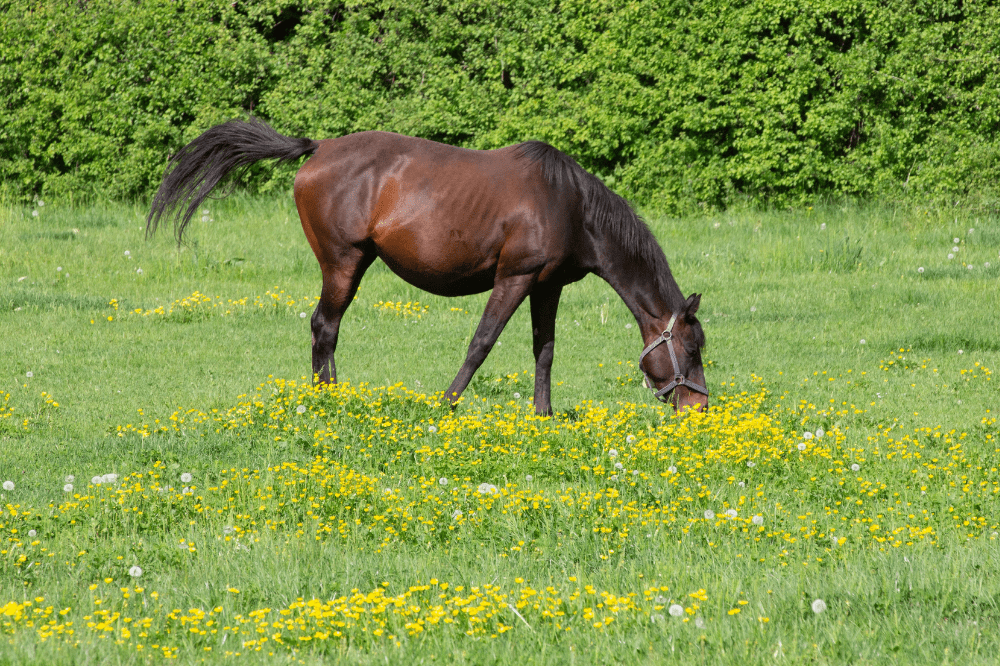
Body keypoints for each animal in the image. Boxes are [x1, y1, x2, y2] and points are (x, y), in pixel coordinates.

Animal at [147, 117, 709, 414]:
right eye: (692, 348)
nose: (698, 408)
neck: (568, 204)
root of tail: (317, 148)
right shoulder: (515, 278)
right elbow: (482, 342)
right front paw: (447, 404)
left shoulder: (546, 287)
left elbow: (544, 351)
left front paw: (544, 416)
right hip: (342, 263)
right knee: (324, 326)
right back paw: (329, 402)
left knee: (326, 329)